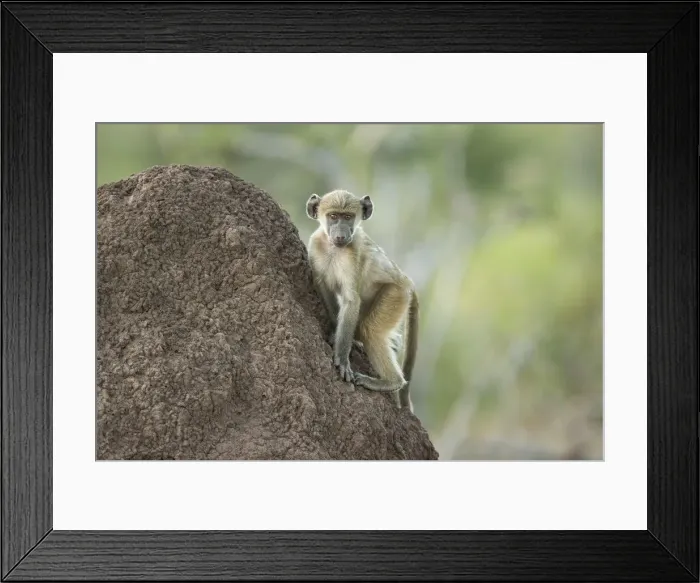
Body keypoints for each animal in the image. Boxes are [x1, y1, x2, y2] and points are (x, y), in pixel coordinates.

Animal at [305, 189, 419, 412]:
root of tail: (406, 281)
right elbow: (322, 286)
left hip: (395, 294)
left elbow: (351, 300)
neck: (333, 249)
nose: (341, 235)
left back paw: (391, 382)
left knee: (370, 329)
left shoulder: (353, 253)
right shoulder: (315, 245)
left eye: (348, 217)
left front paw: (341, 358)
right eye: (334, 216)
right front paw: (335, 333)